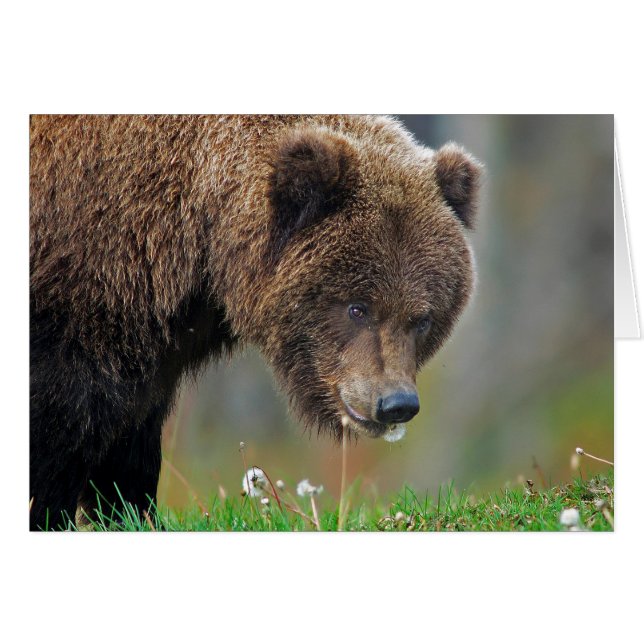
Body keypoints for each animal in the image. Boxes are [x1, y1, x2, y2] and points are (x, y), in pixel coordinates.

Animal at [29, 115, 482, 530]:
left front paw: (128, 512)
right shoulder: (83, 298)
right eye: (358, 307)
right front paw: (49, 512)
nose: (395, 402)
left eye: (422, 318)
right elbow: (62, 423)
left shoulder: (148, 328)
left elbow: (130, 435)